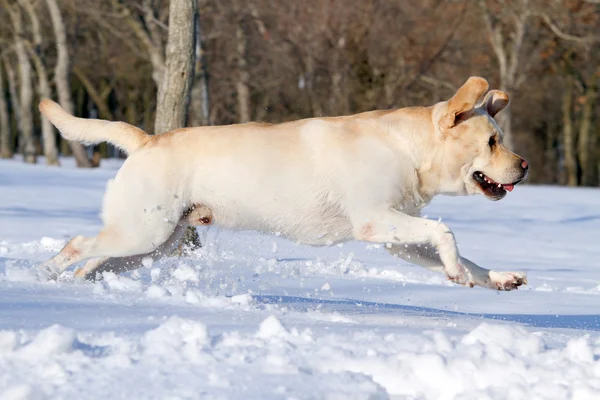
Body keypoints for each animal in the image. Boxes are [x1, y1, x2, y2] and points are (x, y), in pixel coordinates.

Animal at [38, 77, 528, 290]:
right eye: (492, 141)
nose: (523, 166)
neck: (411, 151)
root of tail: (146, 139)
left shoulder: (397, 238)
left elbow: (462, 253)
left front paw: (494, 278)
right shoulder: (374, 221)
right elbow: (446, 232)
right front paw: (455, 270)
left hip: (151, 244)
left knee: (91, 264)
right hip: (142, 231)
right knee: (76, 246)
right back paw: (41, 276)